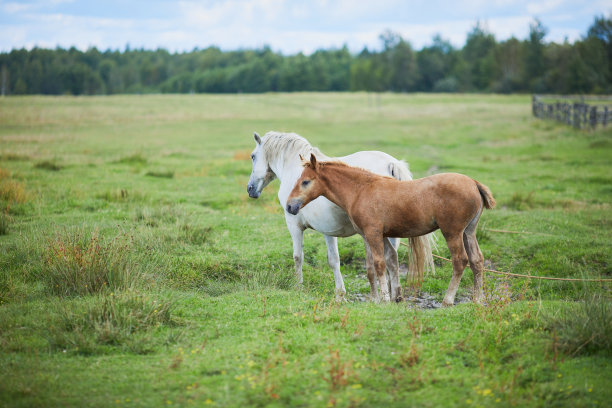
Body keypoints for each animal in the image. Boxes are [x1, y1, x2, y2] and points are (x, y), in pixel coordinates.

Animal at [246, 131, 432, 300]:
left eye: (253, 156)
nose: (250, 189)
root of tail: (391, 164)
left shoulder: (294, 225)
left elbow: (300, 257)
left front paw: (301, 288)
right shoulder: (328, 230)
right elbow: (334, 260)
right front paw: (340, 294)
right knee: (392, 259)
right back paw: (394, 296)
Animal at [288, 154, 498, 306]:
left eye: (305, 181)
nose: (290, 206)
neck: (360, 190)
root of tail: (474, 183)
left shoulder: (373, 233)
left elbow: (380, 264)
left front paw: (385, 299)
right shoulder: (377, 235)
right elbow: (382, 264)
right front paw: (384, 297)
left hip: (452, 232)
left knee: (460, 261)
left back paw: (448, 300)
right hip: (468, 232)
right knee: (477, 260)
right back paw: (477, 299)